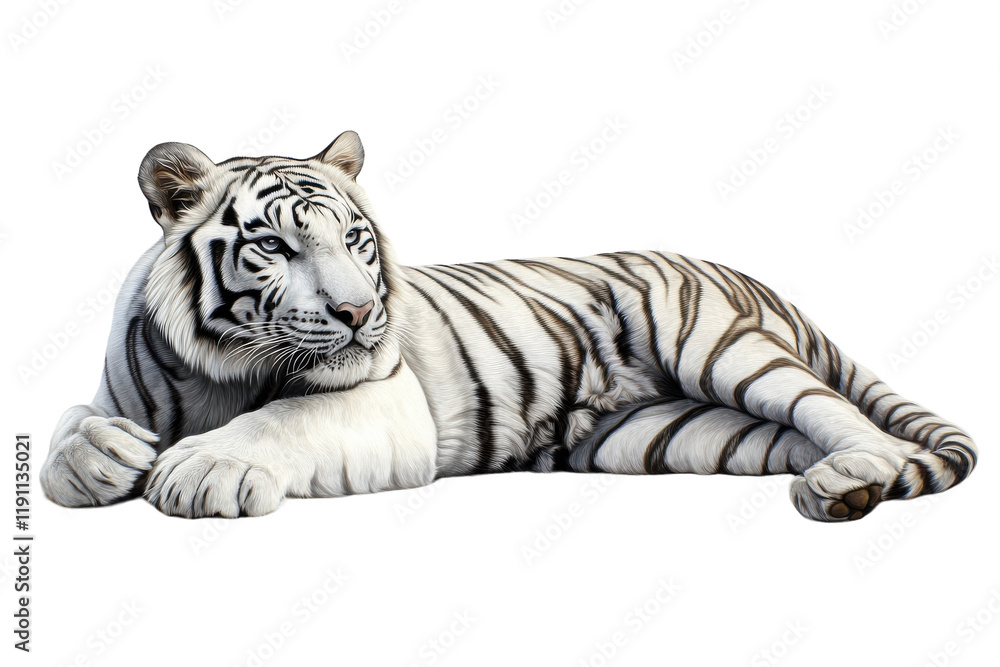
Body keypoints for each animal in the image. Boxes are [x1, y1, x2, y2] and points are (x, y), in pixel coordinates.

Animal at [39, 131, 978, 522]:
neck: (223, 366)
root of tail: (763, 285)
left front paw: (205, 469)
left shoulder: (385, 402)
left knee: (836, 410)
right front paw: (103, 459)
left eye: (354, 239)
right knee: (786, 437)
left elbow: (286, 418)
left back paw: (855, 476)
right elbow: (70, 422)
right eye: (273, 244)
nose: (358, 311)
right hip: (667, 433)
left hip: (720, 345)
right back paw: (837, 488)